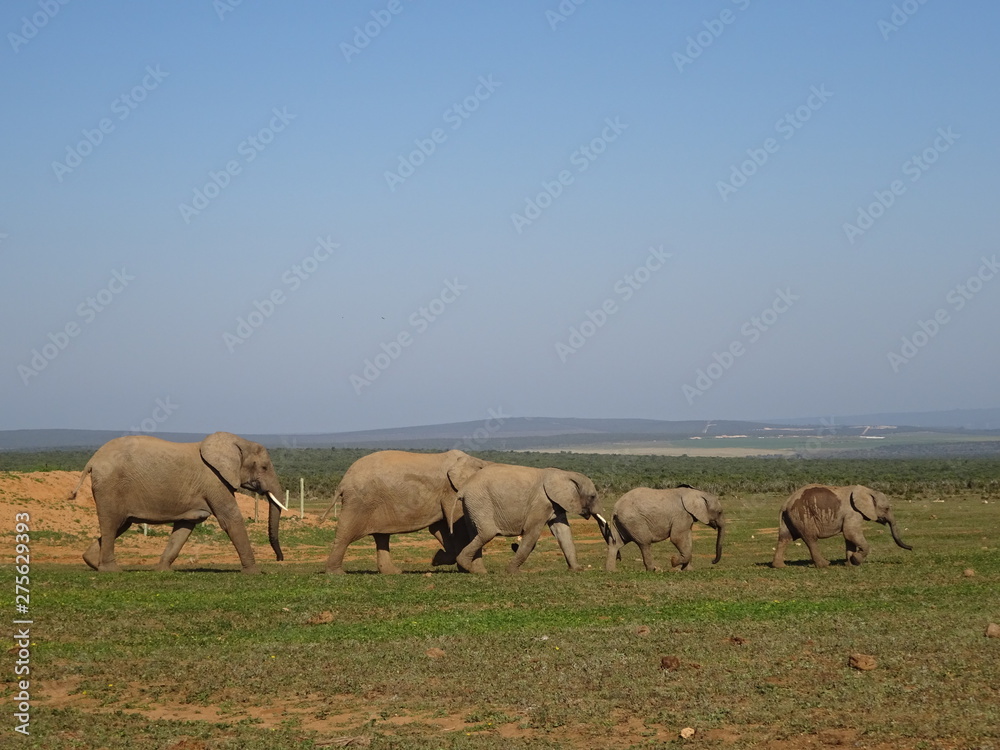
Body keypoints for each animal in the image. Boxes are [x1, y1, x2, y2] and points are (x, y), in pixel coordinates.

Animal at [68, 432, 288, 572]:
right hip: (109, 486)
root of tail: (92, 460)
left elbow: (185, 527)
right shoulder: (215, 480)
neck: (237, 441)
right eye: (264, 467)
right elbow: (230, 519)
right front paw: (254, 572)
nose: (280, 559)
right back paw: (111, 570)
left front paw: (163, 570)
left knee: (120, 525)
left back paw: (92, 563)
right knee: (111, 523)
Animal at [322, 450, 490, 580]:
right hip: (360, 502)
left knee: (381, 536)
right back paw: (337, 573)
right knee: (346, 533)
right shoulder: (452, 492)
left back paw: (393, 572)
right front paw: (476, 571)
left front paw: (437, 559)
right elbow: (459, 527)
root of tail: (343, 482)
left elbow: (441, 528)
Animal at [456, 464, 600, 576]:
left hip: (473, 505)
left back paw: (477, 570)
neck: (565, 473)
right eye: (593, 496)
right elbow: (532, 533)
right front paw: (513, 572)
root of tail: (463, 489)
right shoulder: (541, 503)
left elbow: (563, 532)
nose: (514, 545)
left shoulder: (556, 504)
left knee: (475, 534)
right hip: (480, 502)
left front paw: (577, 570)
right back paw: (468, 566)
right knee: (487, 533)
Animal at [596, 484, 724, 572]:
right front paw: (673, 561)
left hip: (622, 522)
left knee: (615, 544)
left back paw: (611, 571)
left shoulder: (688, 517)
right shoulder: (681, 515)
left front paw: (688, 570)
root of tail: (615, 509)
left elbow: (688, 539)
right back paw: (653, 570)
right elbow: (677, 538)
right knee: (644, 543)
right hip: (634, 521)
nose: (712, 561)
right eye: (719, 512)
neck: (696, 492)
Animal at [772, 484, 916, 568]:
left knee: (784, 538)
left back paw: (779, 566)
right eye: (886, 509)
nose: (912, 548)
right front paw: (856, 560)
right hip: (803, 515)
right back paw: (825, 564)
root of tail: (785, 504)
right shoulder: (853, 512)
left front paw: (850, 563)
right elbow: (850, 533)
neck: (868, 491)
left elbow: (849, 537)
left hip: (790, 518)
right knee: (811, 539)